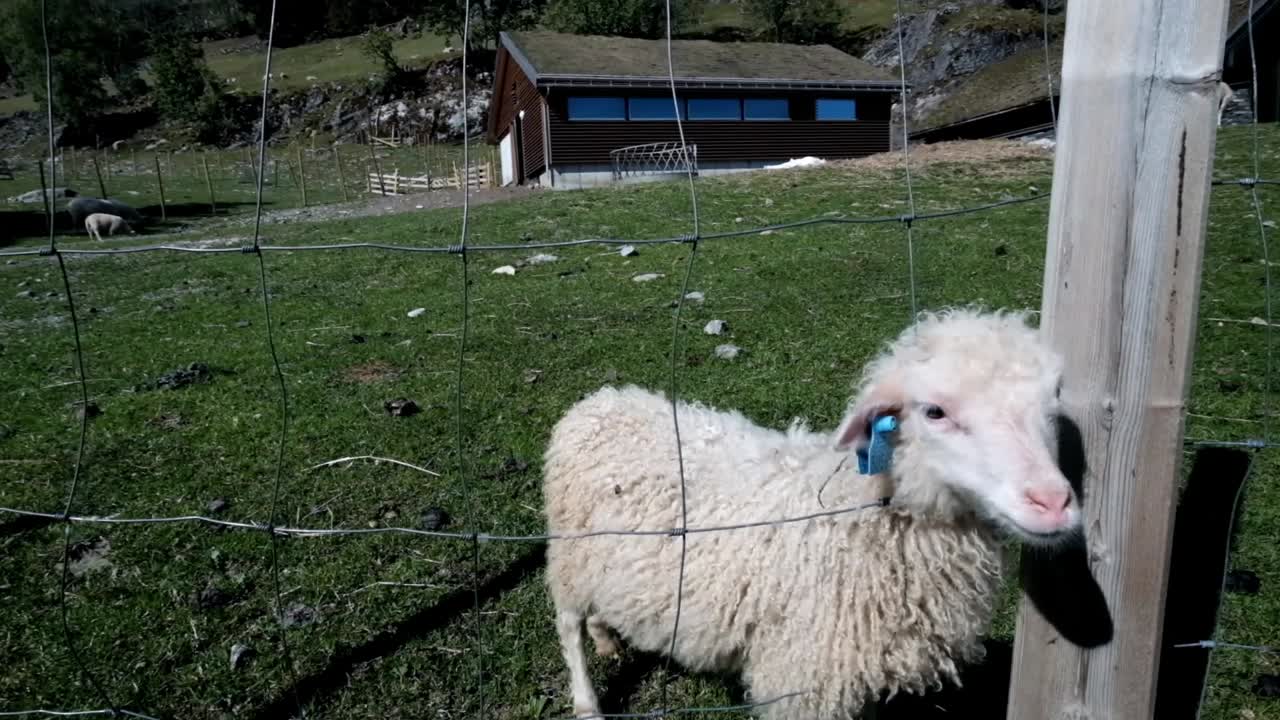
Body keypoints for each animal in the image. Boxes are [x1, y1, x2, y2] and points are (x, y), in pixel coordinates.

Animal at [542, 307, 1081, 720]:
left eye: (1051, 405)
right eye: (935, 412)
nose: (1054, 502)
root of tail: (598, 404)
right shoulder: (803, 680)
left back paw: (607, 638)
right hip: (567, 555)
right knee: (567, 625)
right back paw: (587, 702)